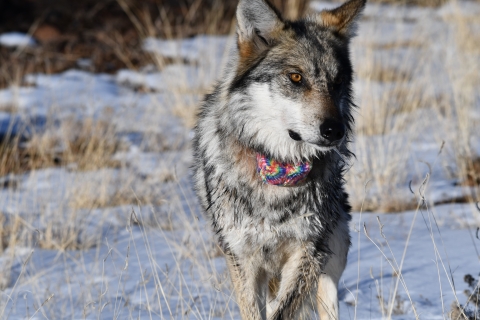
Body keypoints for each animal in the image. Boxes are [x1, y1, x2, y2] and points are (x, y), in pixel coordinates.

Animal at [193, 0, 366, 318]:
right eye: (296, 77)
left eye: (337, 82)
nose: (335, 131)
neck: (279, 167)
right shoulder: (242, 257)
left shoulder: (309, 251)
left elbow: (283, 311)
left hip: (333, 257)